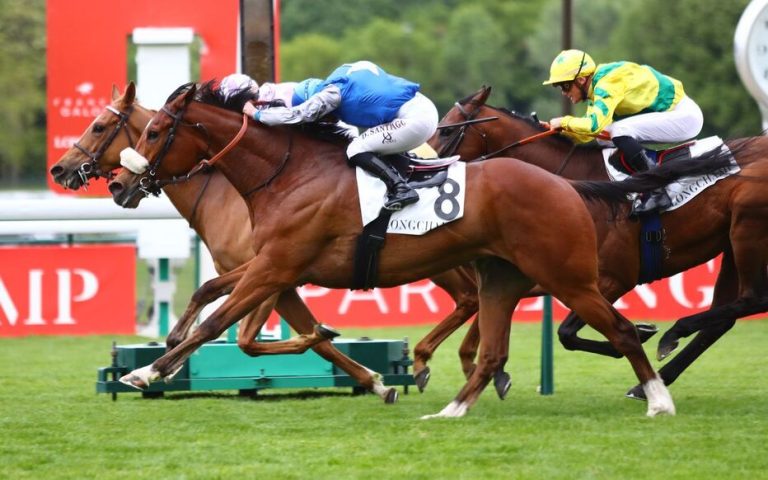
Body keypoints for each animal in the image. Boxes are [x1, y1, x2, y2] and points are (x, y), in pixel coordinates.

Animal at [106, 81, 728, 417]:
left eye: (156, 132)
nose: (120, 184)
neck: (289, 171)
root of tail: (567, 185)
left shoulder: (276, 264)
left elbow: (222, 322)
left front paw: (147, 373)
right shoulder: (269, 266)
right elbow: (224, 308)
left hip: (567, 276)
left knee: (620, 329)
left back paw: (656, 397)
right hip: (504, 275)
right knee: (495, 342)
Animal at [429, 86, 768, 399]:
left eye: (447, 129)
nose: (426, 165)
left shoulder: (611, 279)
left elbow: (568, 332)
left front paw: (642, 333)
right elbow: (563, 331)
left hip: (747, 228)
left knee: (753, 299)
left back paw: (674, 333)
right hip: (731, 244)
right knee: (722, 320)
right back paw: (652, 378)